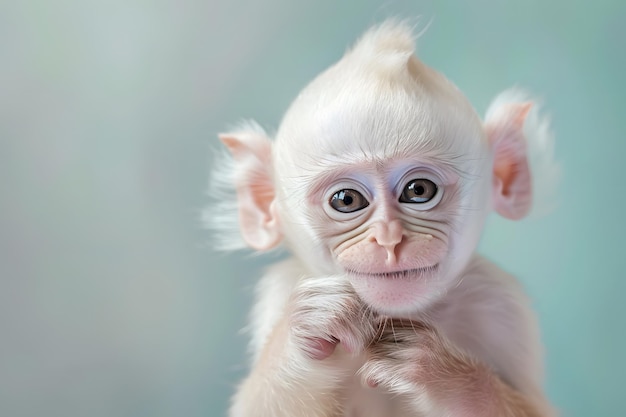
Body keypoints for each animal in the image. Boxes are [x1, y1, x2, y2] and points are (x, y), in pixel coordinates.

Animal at [207, 21, 560, 416]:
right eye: (346, 200)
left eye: (418, 190)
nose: (389, 238)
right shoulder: (280, 290)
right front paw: (302, 332)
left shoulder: (502, 306)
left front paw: (449, 378)